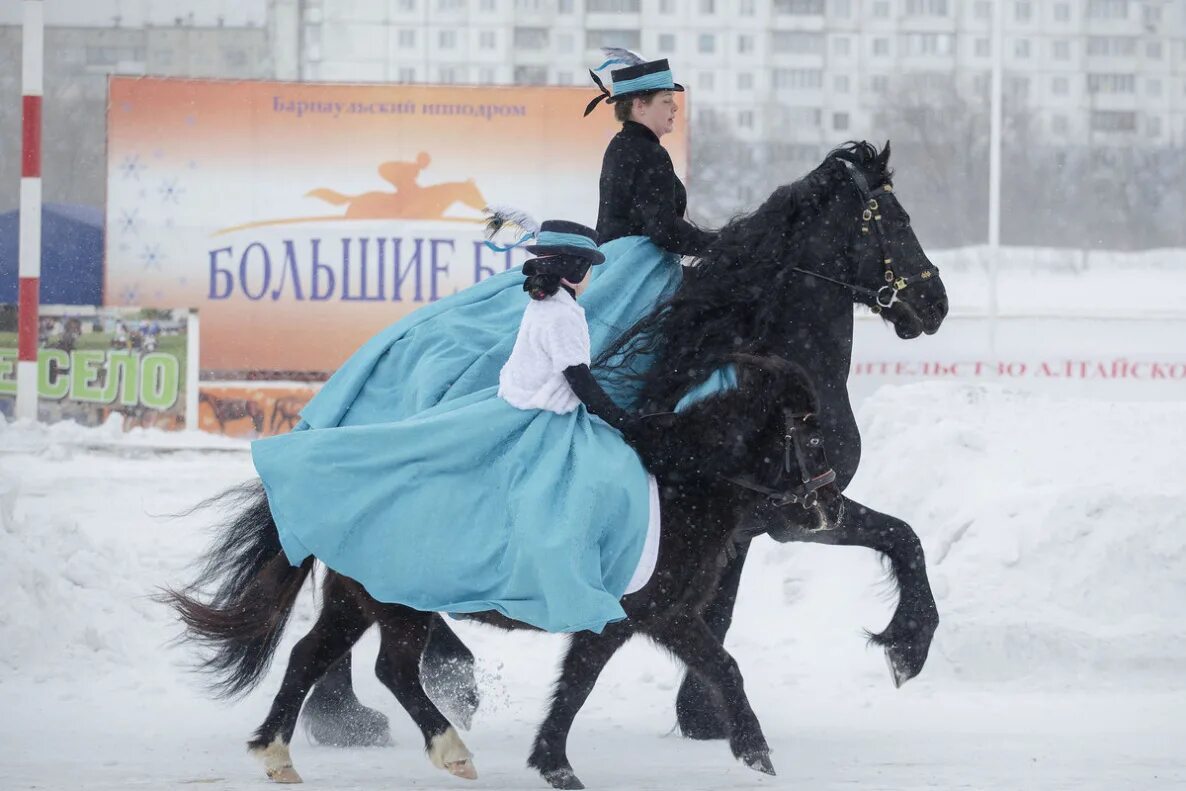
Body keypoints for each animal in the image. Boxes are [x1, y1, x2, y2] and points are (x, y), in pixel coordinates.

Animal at [167, 355, 849, 787]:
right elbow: (589, 683)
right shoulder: (636, 616)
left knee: (313, 657)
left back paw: (276, 755)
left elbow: (707, 667)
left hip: (356, 599)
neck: (680, 483)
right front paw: (558, 766)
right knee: (391, 669)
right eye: (812, 435)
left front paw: (754, 754)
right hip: (398, 604)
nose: (831, 509)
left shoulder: (653, 617)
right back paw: (451, 751)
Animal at [301, 140, 948, 749]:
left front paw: (702, 711)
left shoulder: (754, 521)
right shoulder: (788, 513)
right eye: (898, 219)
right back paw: (383, 701)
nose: (936, 302)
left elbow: (735, 600)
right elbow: (901, 537)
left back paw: (359, 707)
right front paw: (906, 648)